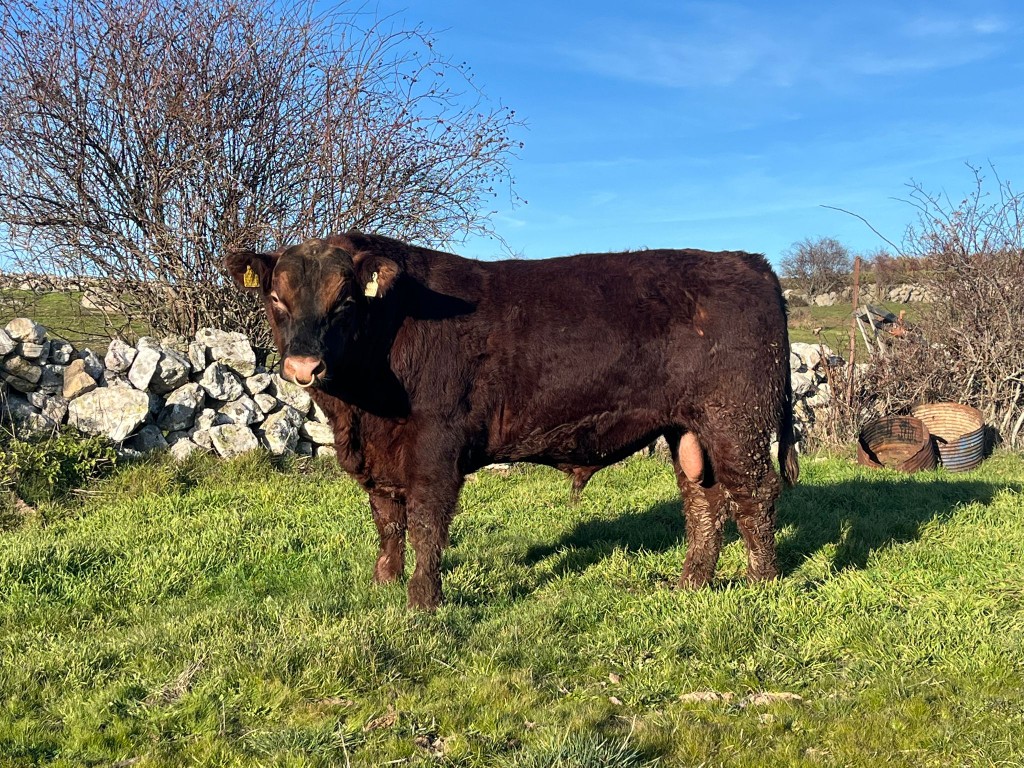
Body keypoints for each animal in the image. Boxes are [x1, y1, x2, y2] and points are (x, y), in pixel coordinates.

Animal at [225, 232, 799, 610]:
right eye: (275, 297)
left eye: (344, 300)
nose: (304, 365)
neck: (359, 414)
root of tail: (750, 261)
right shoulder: (380, 456)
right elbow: (388, 519)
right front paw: (385, 582)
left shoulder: (435, 444)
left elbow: (426, 521)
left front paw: (422, 601)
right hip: (689, 428)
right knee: (705, 499)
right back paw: (690, 584)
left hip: (736, 418)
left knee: (754, 492)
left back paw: (763, 583)